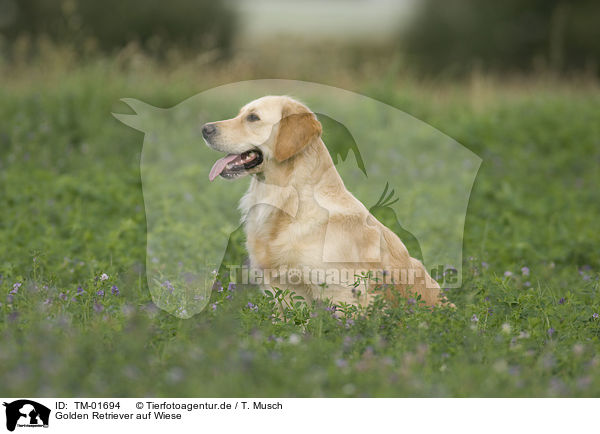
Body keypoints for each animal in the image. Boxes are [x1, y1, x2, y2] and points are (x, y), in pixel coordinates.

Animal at [204, 96, 442, 306]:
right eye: (240, 114)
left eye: (253, 117)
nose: (205, 129)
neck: (289, 201)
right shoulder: (281, 289)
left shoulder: (343, 292)